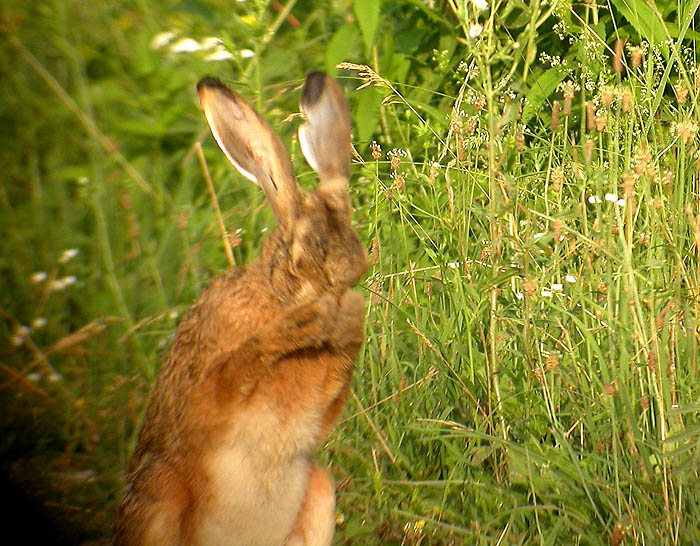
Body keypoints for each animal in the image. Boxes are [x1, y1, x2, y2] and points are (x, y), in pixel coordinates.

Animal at [114, 72, 366, 544]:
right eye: (301, 253)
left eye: (356, 247)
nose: (343, 283)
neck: (274, 294)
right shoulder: (208, 398)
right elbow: (233, 372)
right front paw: (304, 323)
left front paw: (349, 318)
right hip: (159, 496)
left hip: (319, 491)